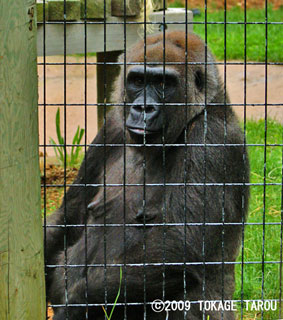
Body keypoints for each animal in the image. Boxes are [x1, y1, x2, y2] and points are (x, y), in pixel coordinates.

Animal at [45, 31, 250, 320]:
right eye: (138, 80)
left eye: (163, 83)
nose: (143, 109)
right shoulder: (112, 126)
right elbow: (69, 216)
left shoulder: (212, 139)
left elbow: (181, 246)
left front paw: (74, 308)